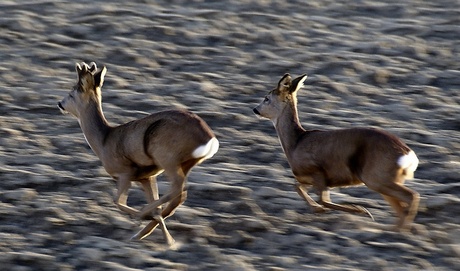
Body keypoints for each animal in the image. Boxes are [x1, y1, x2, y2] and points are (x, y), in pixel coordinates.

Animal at [57, 62, 219, 245]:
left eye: (71, 93)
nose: (60, 103)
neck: (104, 140)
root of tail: (209, 138)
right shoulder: (146, 177)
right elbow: (154, 202)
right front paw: (166, 239)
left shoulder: (125, 173)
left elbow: (117, 201)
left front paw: (144, 217)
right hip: (185, 163)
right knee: (178, 195)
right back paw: (153, 236)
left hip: (166, 158)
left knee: (177, 189)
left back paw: (143, 216)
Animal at [253, 73, 418, 231]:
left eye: (267, 98)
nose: (255, 109)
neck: (295, 143)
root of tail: (407, 154)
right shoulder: (311, 179)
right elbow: (298, 187)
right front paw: (318, 210)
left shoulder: (317, 172)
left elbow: (323, 200)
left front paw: (361, 211)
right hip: (387, 180)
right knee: (401, 206)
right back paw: (392, 230)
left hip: (376, 177)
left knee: (411, 196)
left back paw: (399, 232)